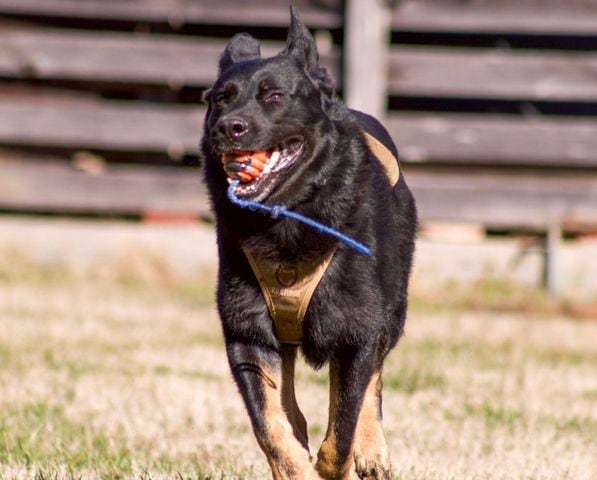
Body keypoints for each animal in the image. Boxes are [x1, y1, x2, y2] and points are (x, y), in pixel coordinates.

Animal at [200, 7, 414, 480]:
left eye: (275, 96)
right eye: (221, 99)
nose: (229, 127)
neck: (286, 218)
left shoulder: (357, 332)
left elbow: (342, 431)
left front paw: (344, 457)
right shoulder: (246, 334)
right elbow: (271, 427)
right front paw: (296, 466)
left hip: (393, 310)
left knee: (374, 378)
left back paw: (373, 450)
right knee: (291, 409)